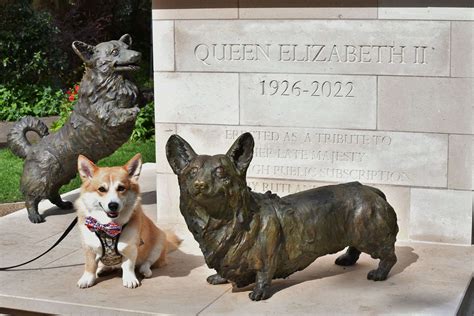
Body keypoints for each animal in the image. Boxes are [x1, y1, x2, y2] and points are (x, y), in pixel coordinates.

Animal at [75, 154, 181, 288]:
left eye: (121, 188)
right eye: (101, 189)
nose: (113, 205)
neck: (108, 225)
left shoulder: (130, 248)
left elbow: (128, 266)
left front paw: (130, 279)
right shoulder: (89, 246)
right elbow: (89, 265)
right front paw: (87, 278)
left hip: (159, 242)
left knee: (148, 262)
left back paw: (145, 270)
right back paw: (103, 268)